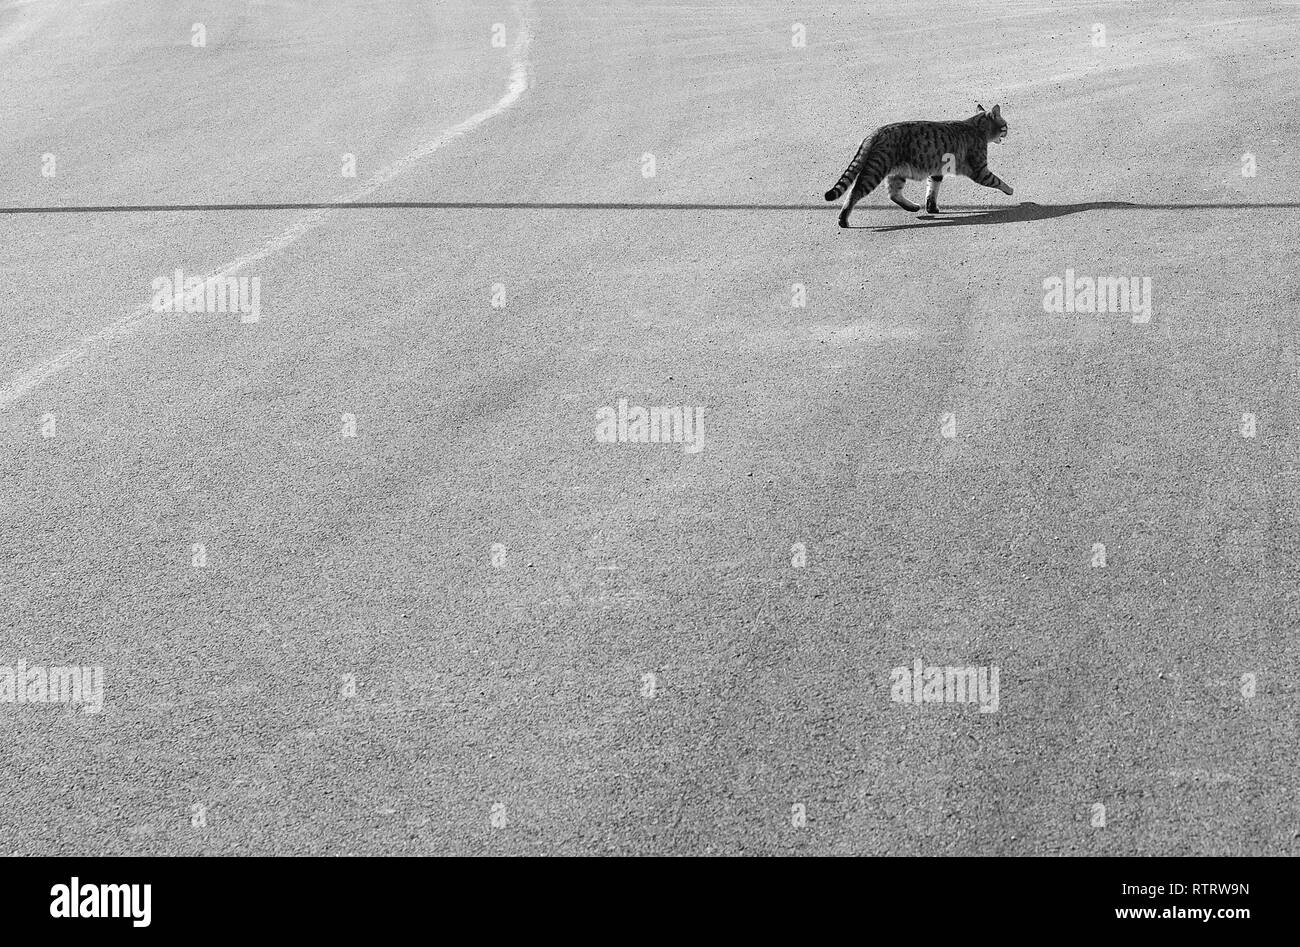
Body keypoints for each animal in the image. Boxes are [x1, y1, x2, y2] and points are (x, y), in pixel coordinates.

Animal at [821, 103, 1013, 227]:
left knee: (893, 194)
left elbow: (932, 190)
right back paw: (843, 220)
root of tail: (874, 133)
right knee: (854, 193)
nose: (1007, 132)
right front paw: (1010, 190)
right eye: (1005, 125)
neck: (976, 126)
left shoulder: (936, 171)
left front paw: (931, 207)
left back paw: (912, 207)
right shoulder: (979, 170)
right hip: (875, 171)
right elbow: (997, 180)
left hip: (896, 173)